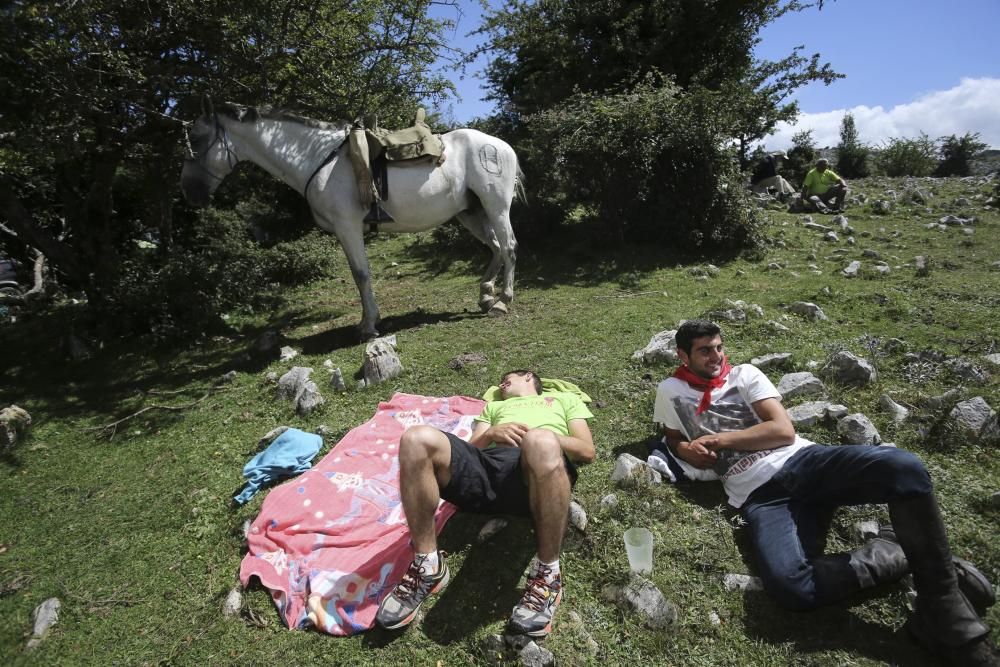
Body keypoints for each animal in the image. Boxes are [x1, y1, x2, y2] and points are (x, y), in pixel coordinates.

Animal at [182, 100, 524, 340]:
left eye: (196, 139)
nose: (189, 193)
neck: (317, 159)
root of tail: (501, 145)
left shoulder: (348, 227)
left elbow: (361, 274)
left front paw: (369, 325)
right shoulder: (344, 232)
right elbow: (357, 274)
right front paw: (367, 321)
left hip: (495, 206)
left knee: (508, 246)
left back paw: (502, 302)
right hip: (470, 212)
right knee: (495, 247)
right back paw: (485, 295)